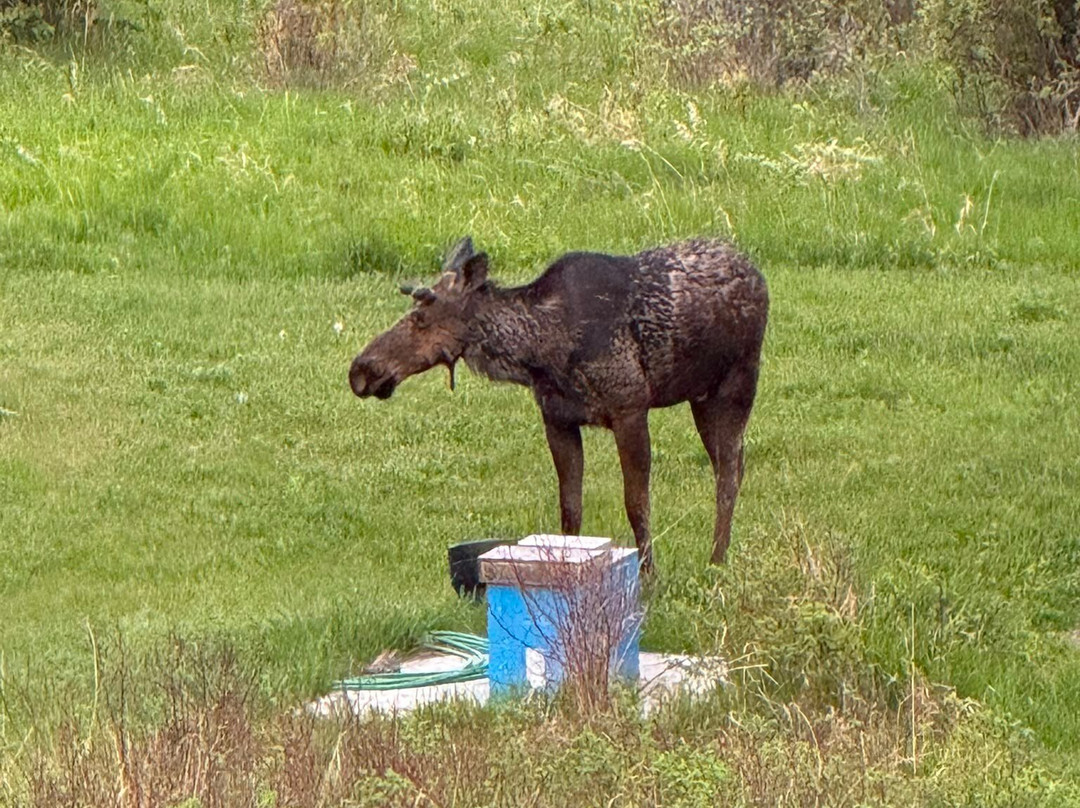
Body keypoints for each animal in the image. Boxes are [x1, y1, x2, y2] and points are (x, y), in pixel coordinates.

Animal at [349, 237, 768, 573]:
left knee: (728, 473)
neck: (541, 351)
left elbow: (636, 504)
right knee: (733, 464)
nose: (361, 370)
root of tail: (757, 274)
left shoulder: (629, 408)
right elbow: (569, 510)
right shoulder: (557, 419)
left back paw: (717, 559)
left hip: (737, 385)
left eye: (420, 317)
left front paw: (648, 575)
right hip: (702, 397)